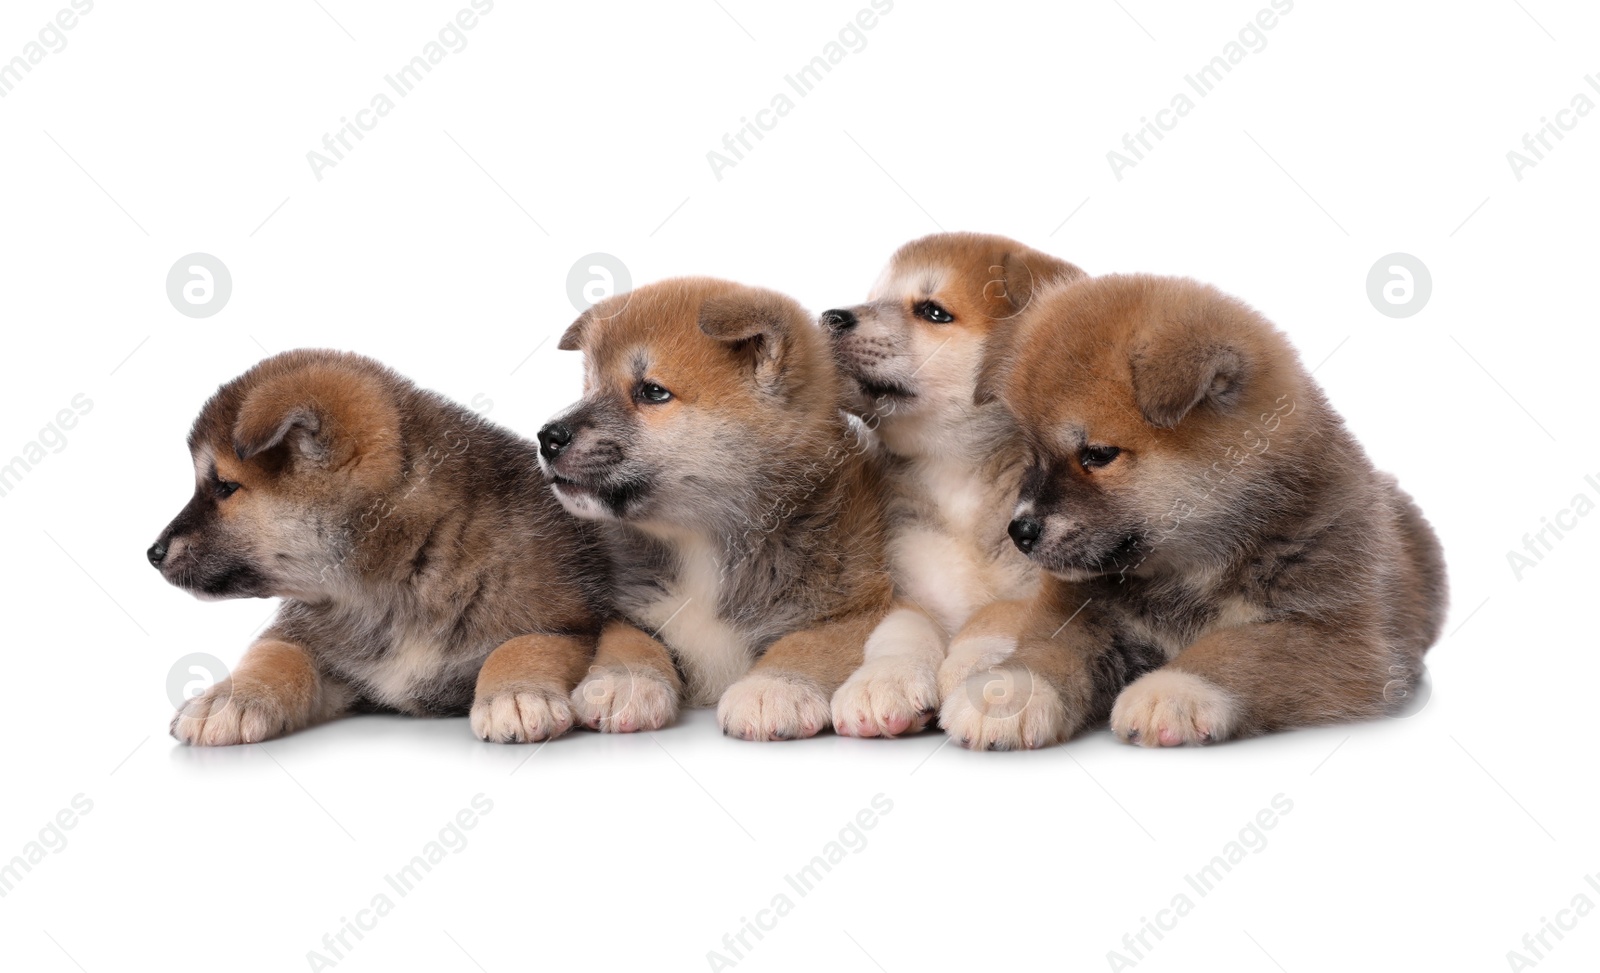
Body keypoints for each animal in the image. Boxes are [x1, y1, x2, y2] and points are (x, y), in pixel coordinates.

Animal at [150, 348, 604, 745]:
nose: (152, 553)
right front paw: (229, 697)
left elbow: (527, 643)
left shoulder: (573, 625)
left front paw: (516, 694)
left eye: (225, 487)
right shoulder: (322, 648)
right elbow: (275, 653)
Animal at [540, 276, 902, 742]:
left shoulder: (860, 607)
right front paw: (623, 680)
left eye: (652, 391)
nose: (547, 437)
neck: (703, 542)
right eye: (589, 387)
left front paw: (772, 688)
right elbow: (628, 641)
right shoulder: (632, 609)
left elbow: (808, 643)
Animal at [819, 233, 1094, 736]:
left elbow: (993, 617)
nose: (831, 316)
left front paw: (974, 672)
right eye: (874, 298)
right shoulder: (906, 587)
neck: (958, 479)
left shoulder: (1042, 583)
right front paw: (883, 679)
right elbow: (901, 631)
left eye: (933, 312)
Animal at [940, 276, 1459, 748]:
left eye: (1098, 455)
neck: (1186, 574)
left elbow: (1240, 648)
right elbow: (1046, 650)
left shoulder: (1340, 641)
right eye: (1032, 454)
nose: (1020, 531)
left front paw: (1173, 691)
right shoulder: (1081, 614)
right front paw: (1007, 693)